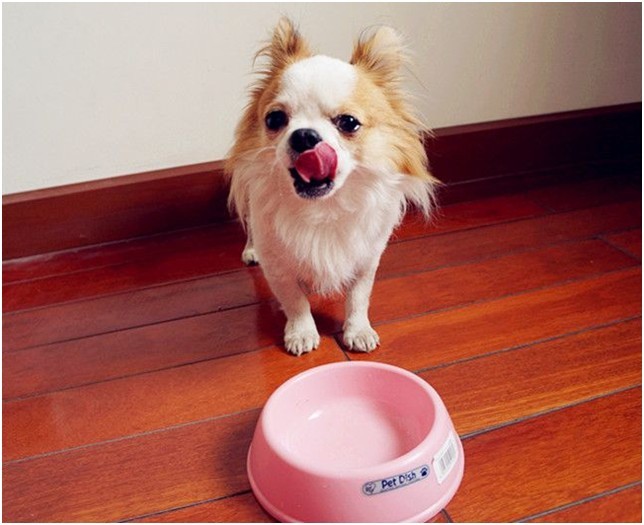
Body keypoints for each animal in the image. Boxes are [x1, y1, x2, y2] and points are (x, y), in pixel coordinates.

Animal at [226, 18, 437, 356]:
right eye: (275, 119)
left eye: (349, 122)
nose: (304, 135)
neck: (324, 207)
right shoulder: (277, 264)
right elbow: (294, 298)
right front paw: (301, 332)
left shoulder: (366, 258)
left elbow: (359, 297)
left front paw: (358, 330)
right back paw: (250, 249)